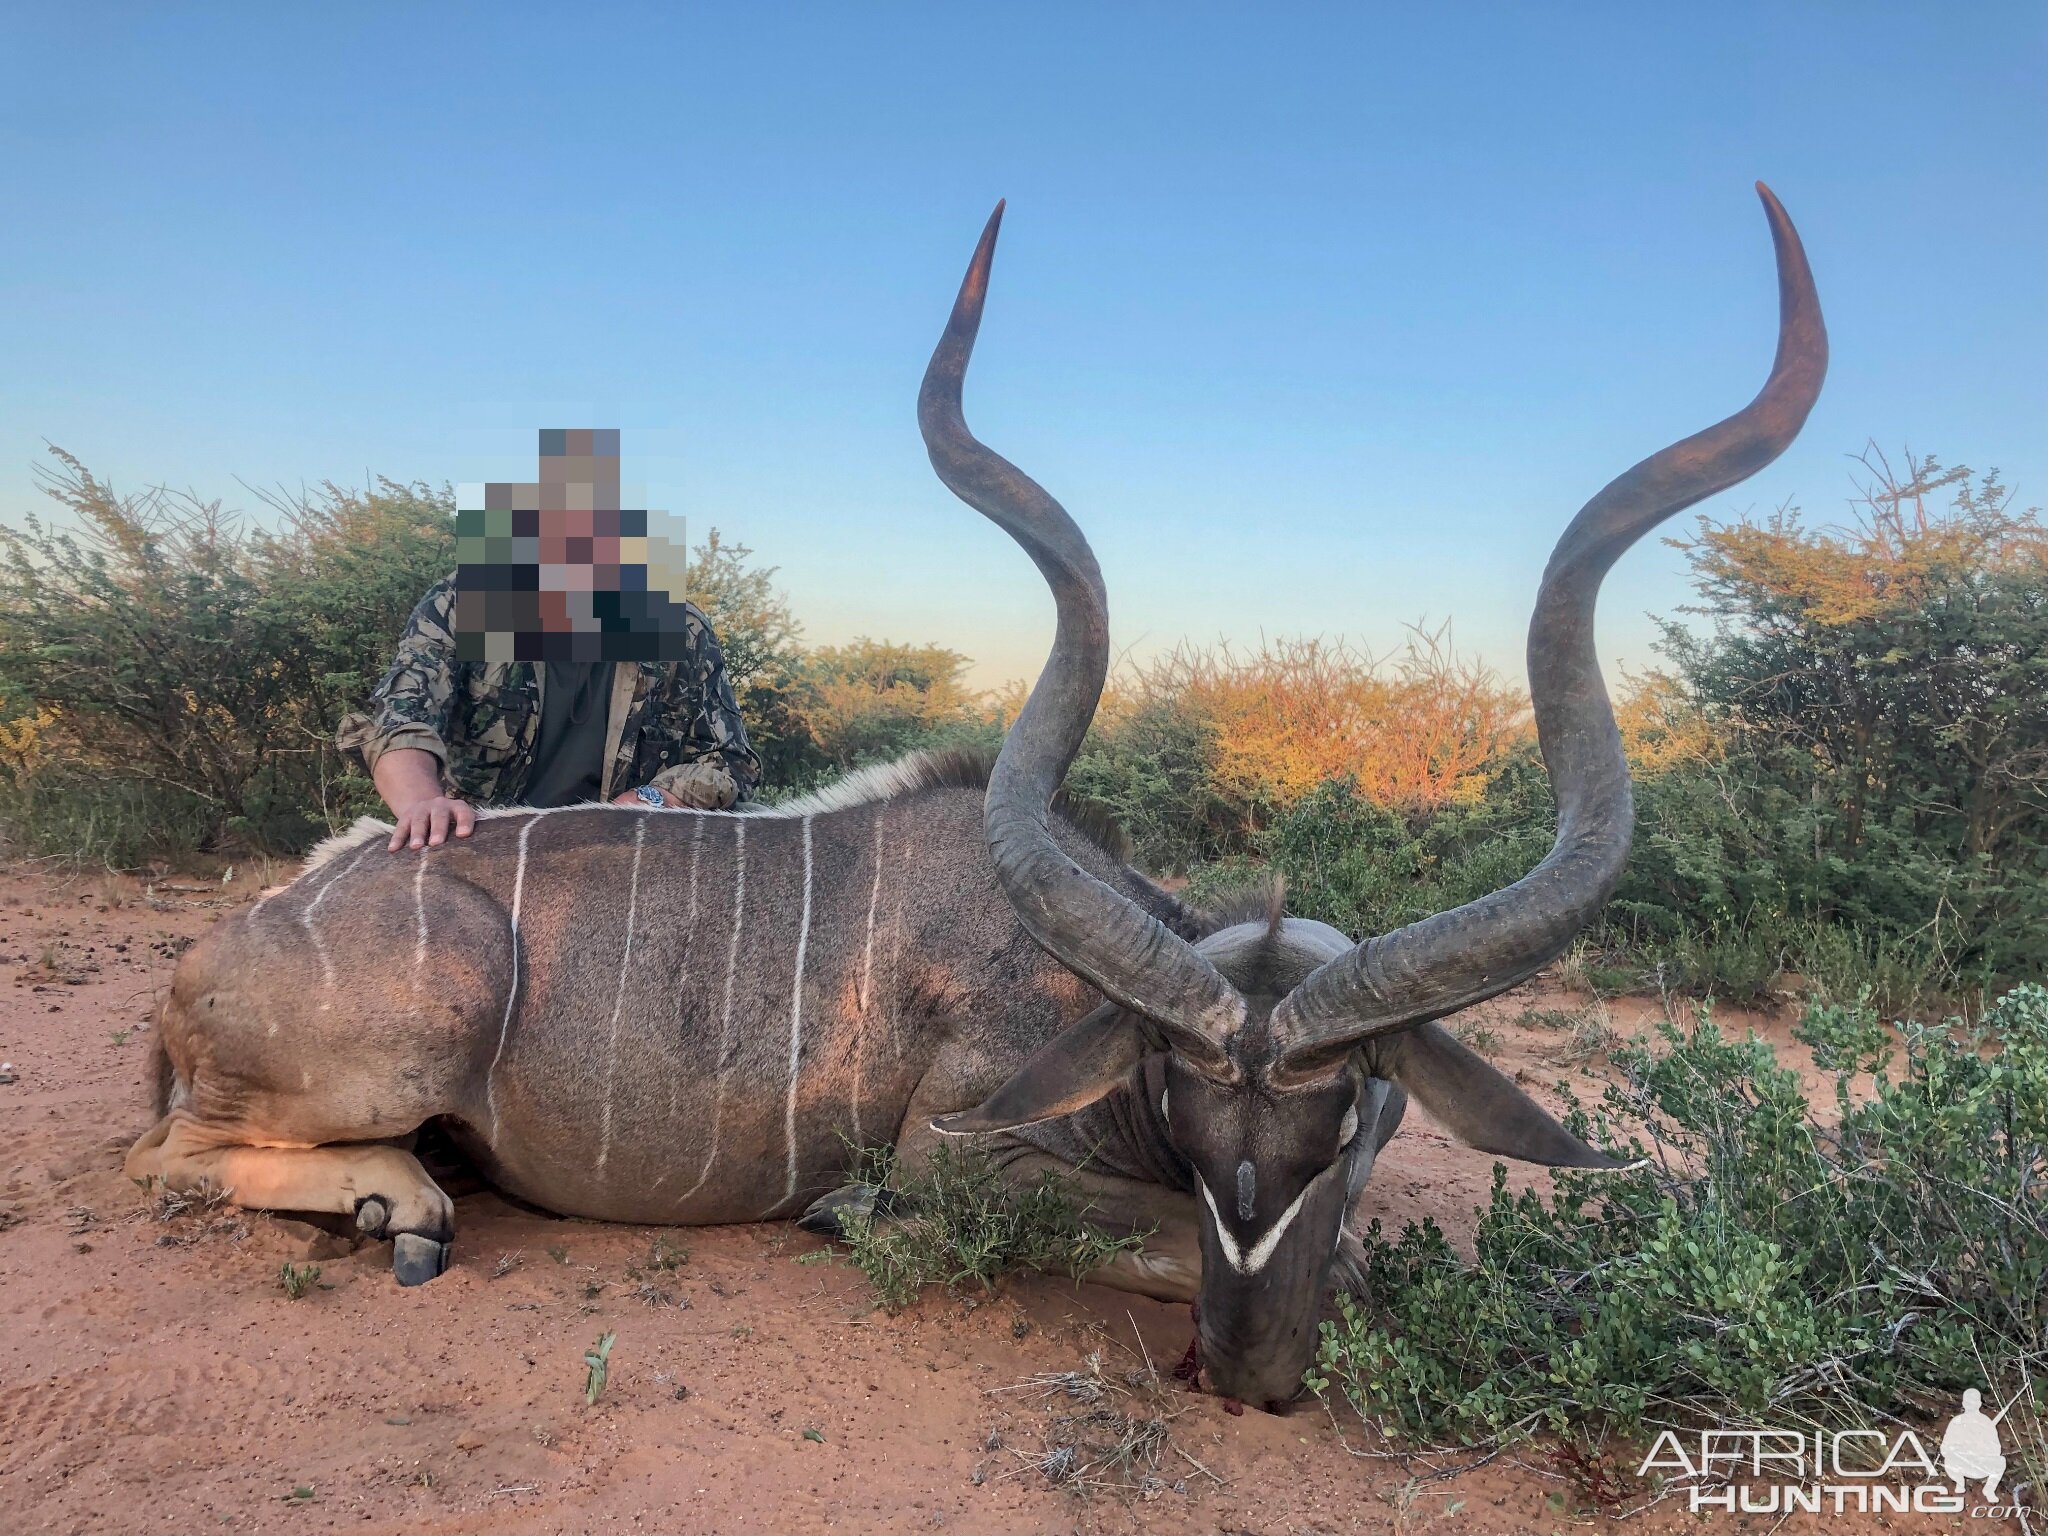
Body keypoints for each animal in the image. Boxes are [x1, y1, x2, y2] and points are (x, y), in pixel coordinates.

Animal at [128, 186, 1826, 1417]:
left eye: (1342, 1122)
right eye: (1189, 1118)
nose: (1251, 1379)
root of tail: (208, 962)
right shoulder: (963, 1153)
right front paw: (850, 1220)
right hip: (426, 1017)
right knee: (168, 1158)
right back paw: (400, 1207)